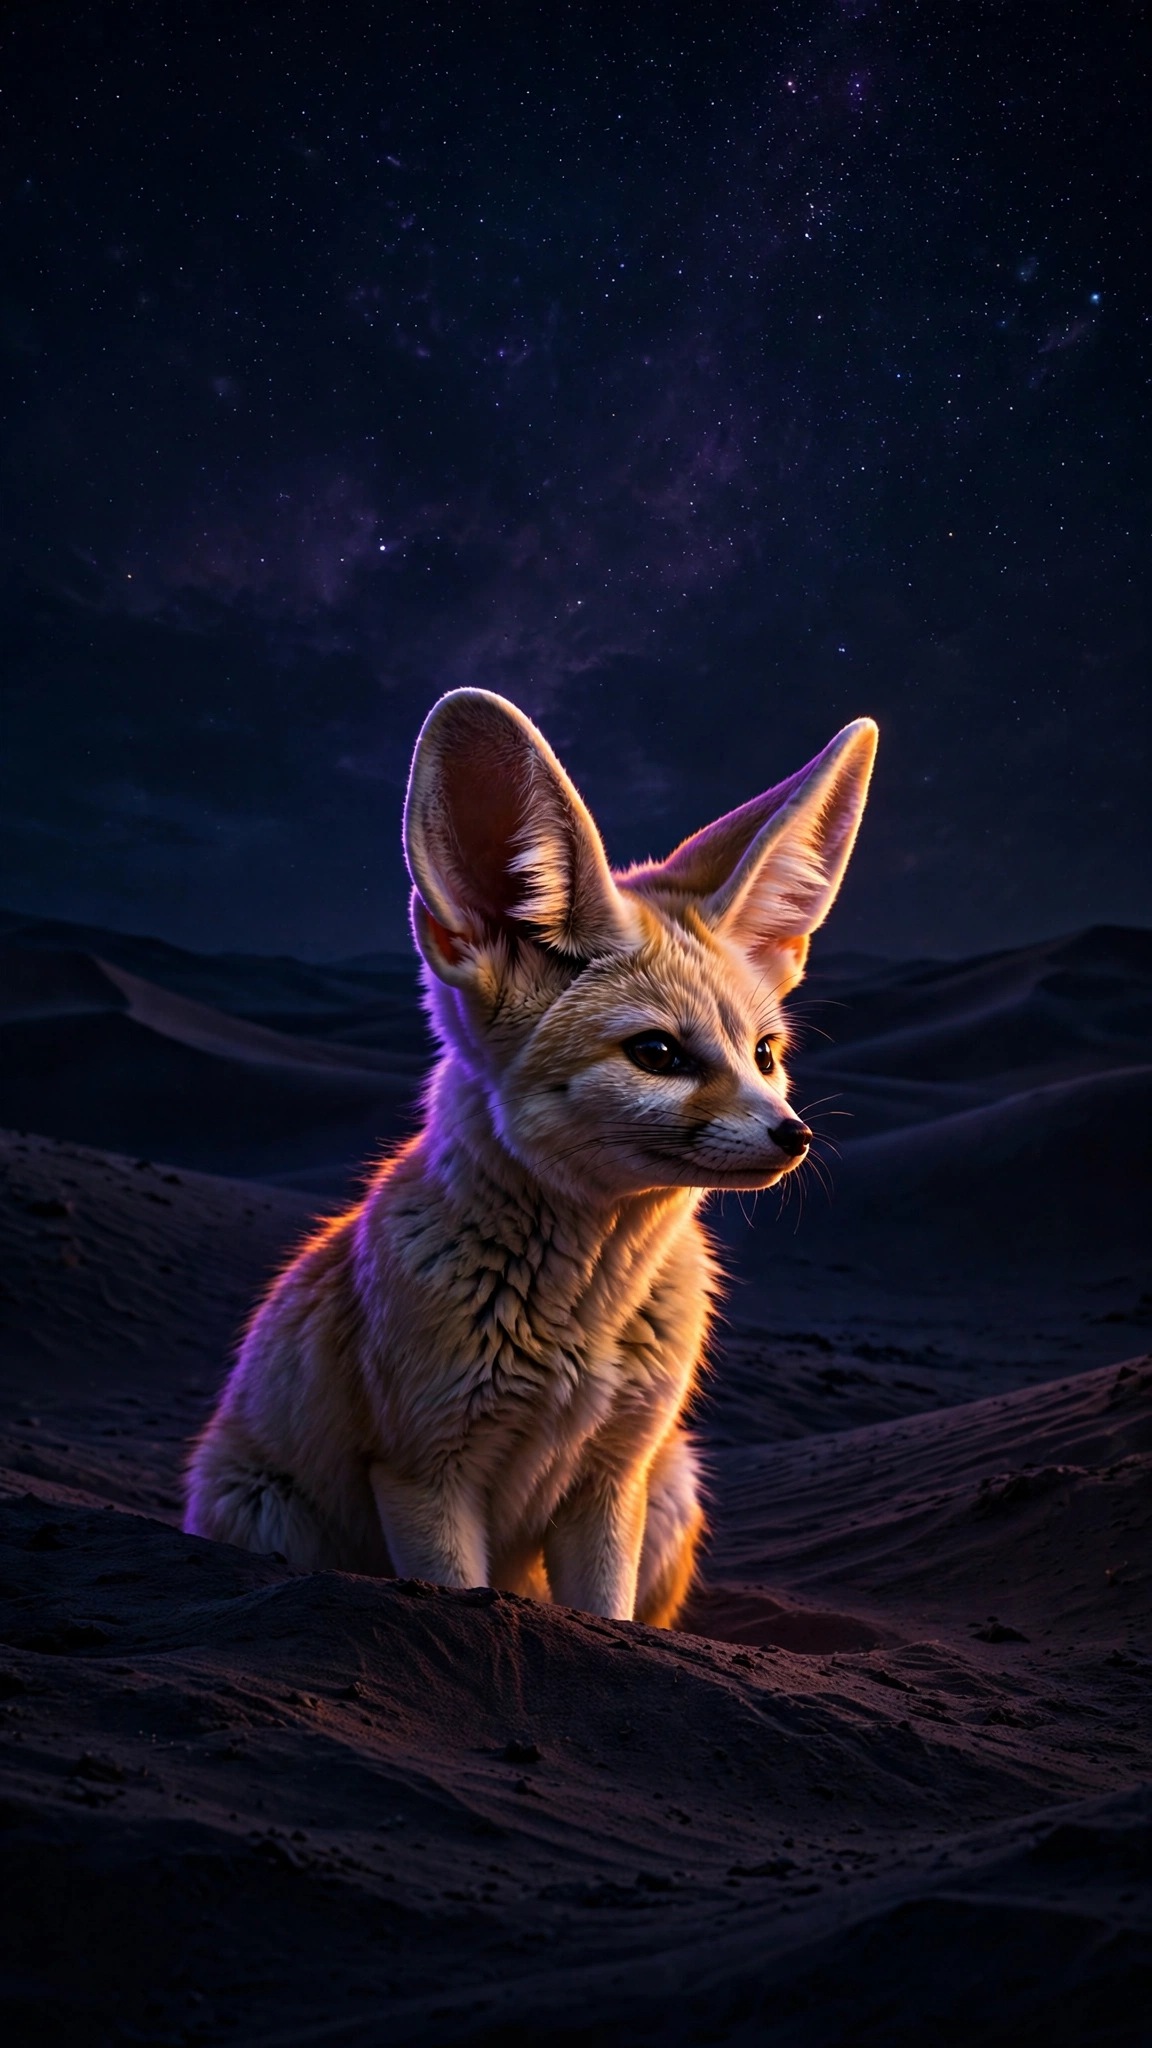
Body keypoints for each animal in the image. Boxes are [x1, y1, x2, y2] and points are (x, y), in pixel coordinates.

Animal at [184, 690, 877, 1627]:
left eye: (765, 1055)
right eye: (657, 1055)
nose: (794, 1135)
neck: (582, 1315)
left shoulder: (612, 1479)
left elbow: (608, 1620)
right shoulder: (423, 1474)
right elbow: (456, 1592)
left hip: (672, 1484)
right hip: (266, 1511)